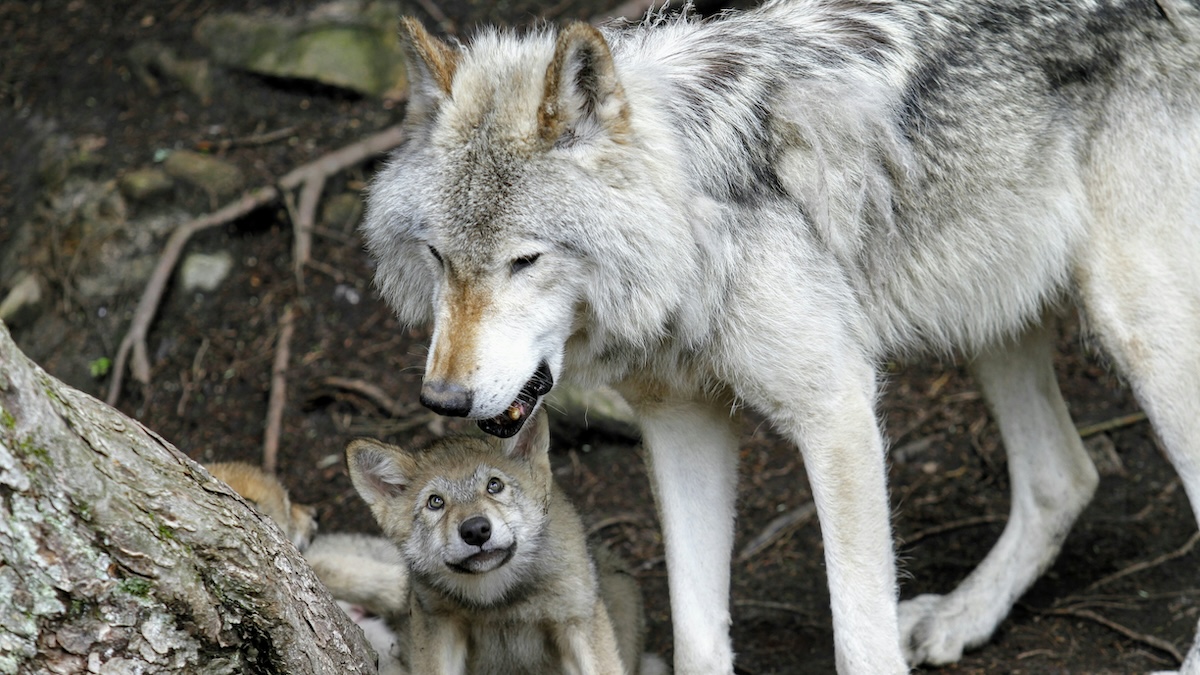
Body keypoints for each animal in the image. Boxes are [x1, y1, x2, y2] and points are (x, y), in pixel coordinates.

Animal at [345, 411, 660, 674]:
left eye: (494, 485)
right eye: (435, 502)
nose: (475, 531)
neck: (499, 601)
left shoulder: (577, 621)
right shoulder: (438, 624)